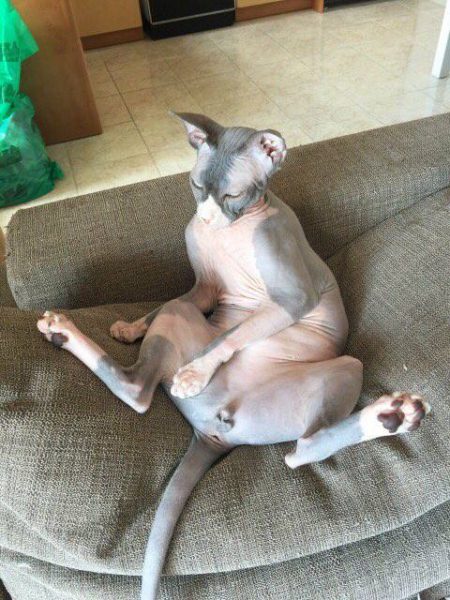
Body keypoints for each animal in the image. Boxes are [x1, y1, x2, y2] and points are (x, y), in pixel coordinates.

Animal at [37, 113, 430, 600]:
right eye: (194, 186)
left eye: (233, 195)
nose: (205, 219)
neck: (236, 230)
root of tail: (210, 434)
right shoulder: (204, 288)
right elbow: (165, 301)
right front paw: (130, 327)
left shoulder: (293, 298)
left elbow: (232, 335)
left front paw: (193, 372)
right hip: (196, 318)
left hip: (330, 364)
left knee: (293, 449)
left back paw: (391, 416)